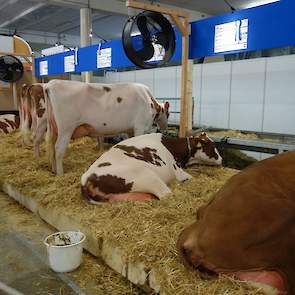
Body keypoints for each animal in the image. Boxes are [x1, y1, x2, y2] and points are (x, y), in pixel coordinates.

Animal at [80, 132, 222, 204]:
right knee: (165, 195)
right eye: (212, 146)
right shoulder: (179, 172)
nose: (222, 159)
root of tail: (87, 178)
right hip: (148, 176)